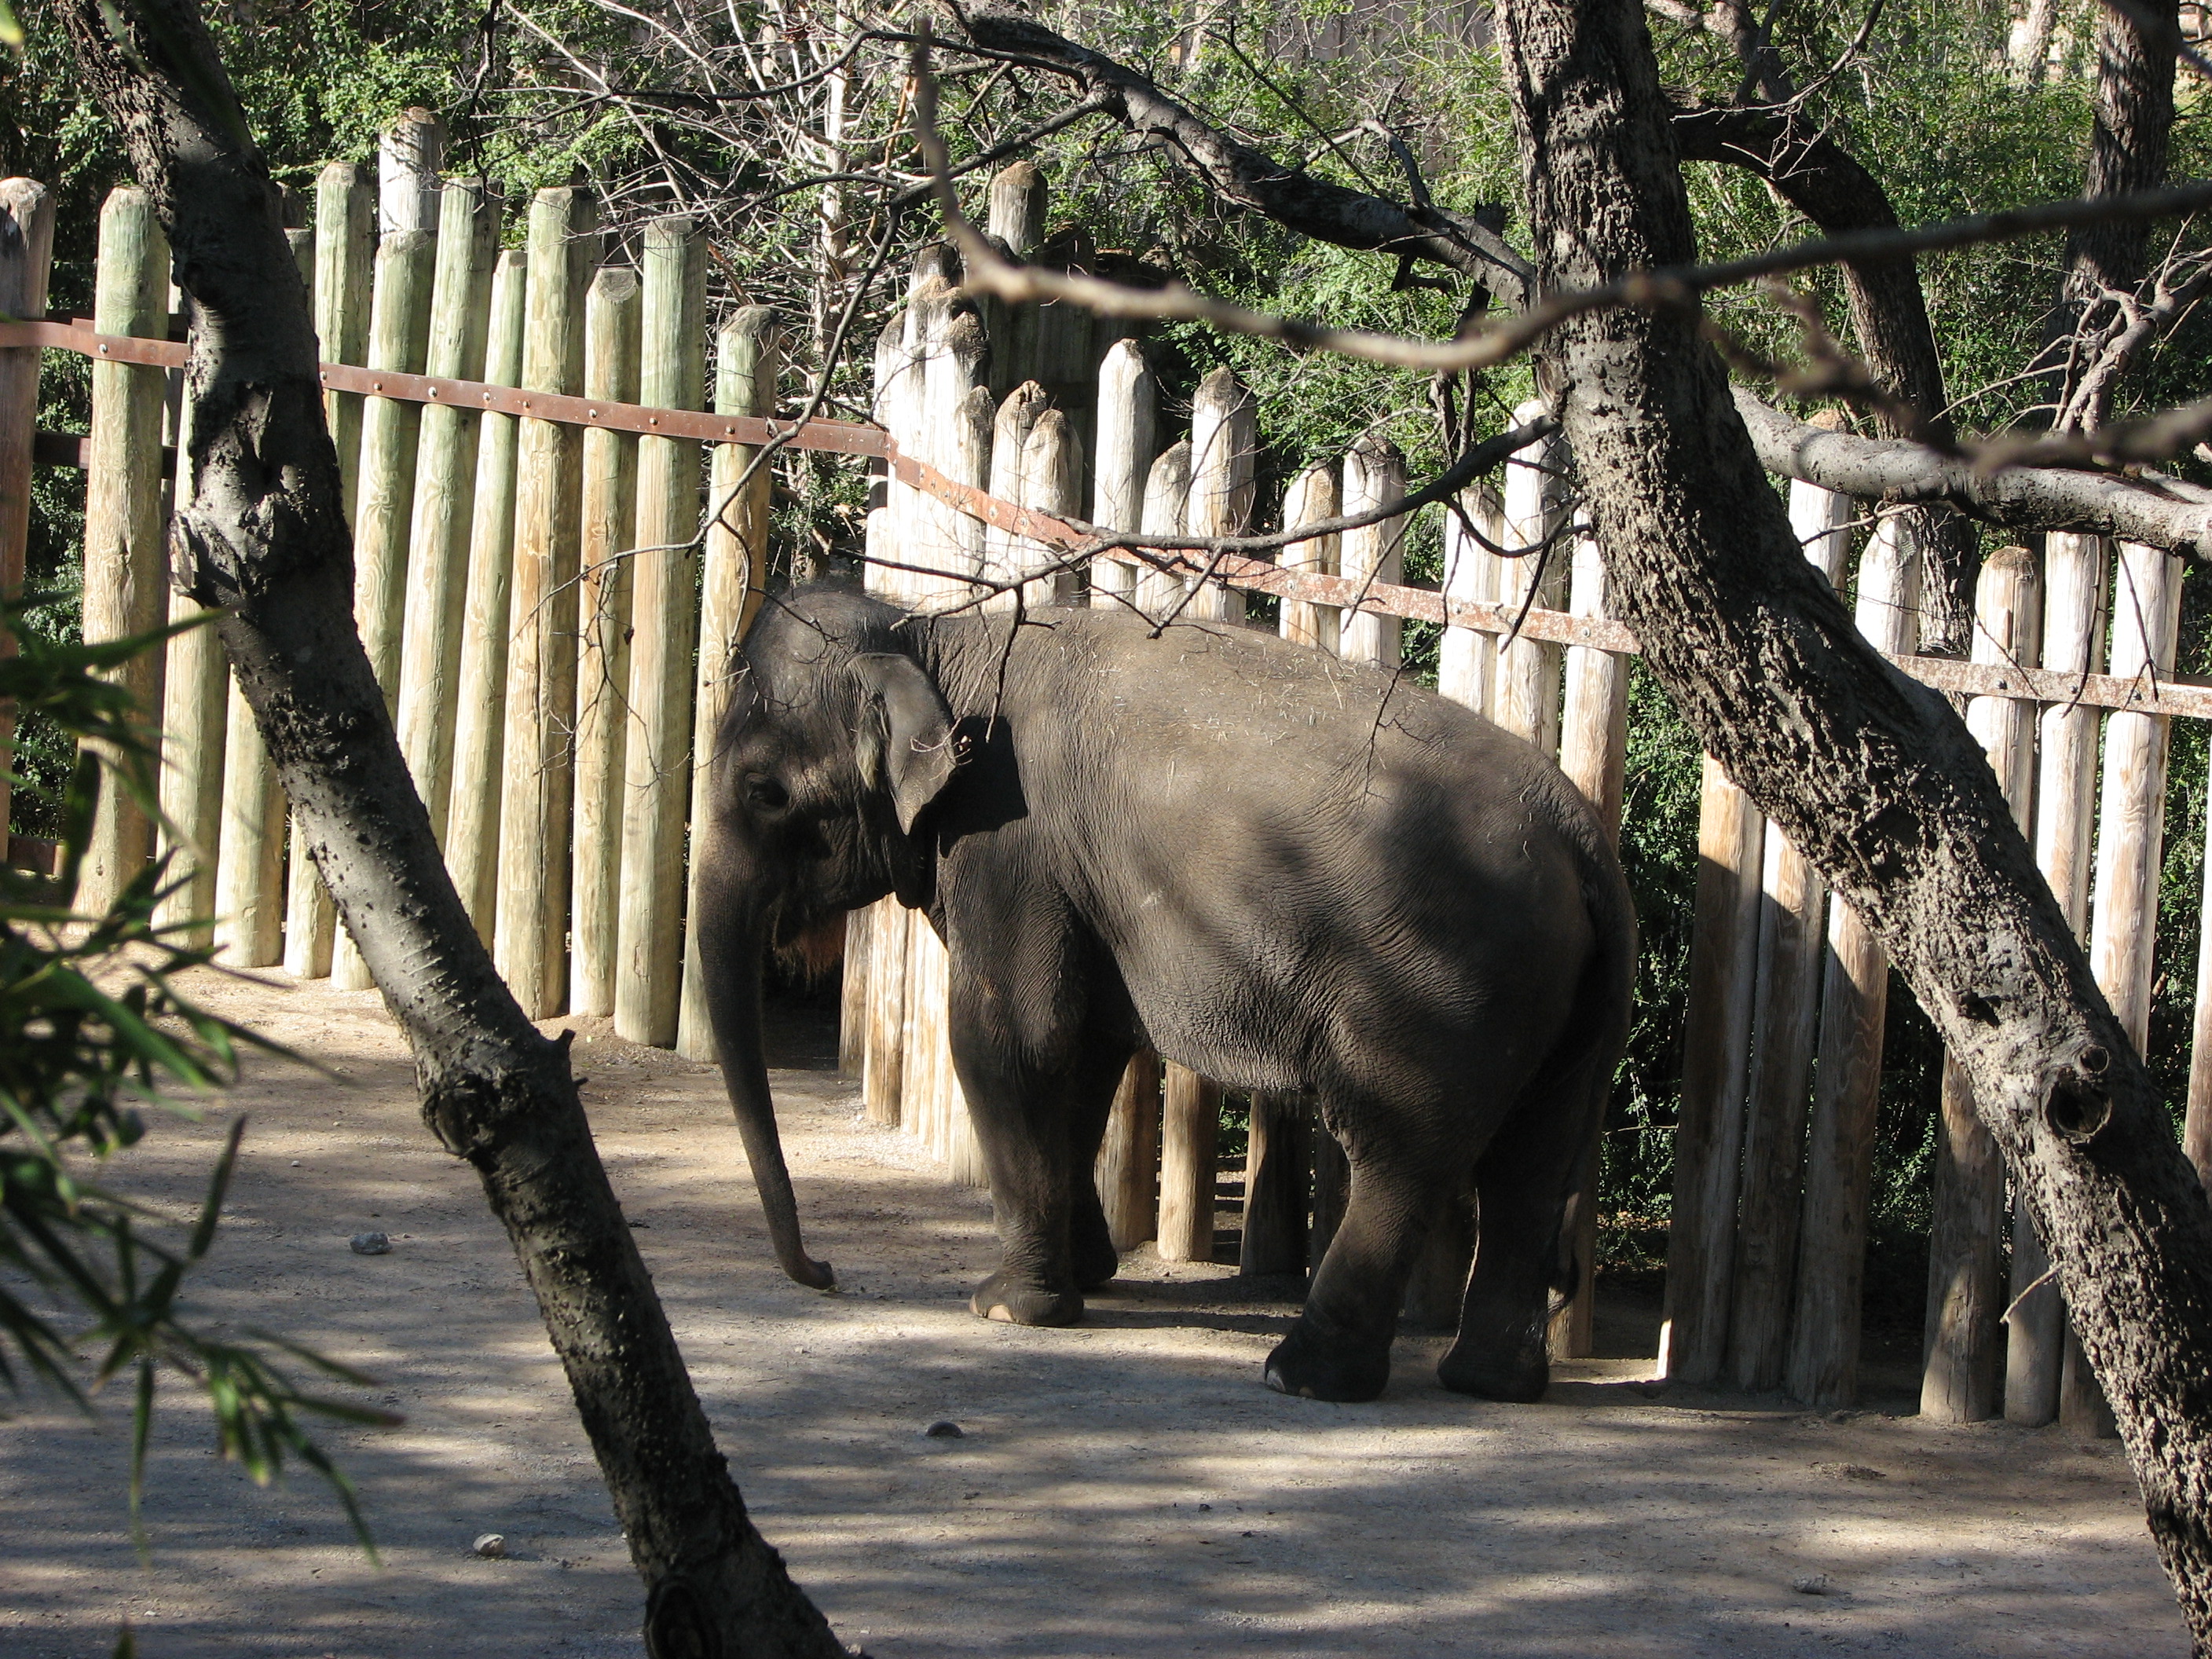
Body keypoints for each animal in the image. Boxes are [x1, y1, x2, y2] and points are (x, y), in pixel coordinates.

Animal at [698, 584, 1636, 1406]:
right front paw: (1087, 1277)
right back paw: (1488, 1384)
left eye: (763, 792)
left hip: (1439, 986)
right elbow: (1083, 1052)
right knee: (1533, 1160)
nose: (825, 1274)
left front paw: (1007, 1308)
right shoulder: (1073, 882)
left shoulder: (1010, 842)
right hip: (1562, 996)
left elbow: (1013, 1040)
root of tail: (1584, 839)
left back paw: (1300, 1376)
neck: (932, 633)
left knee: (1400, 1152)